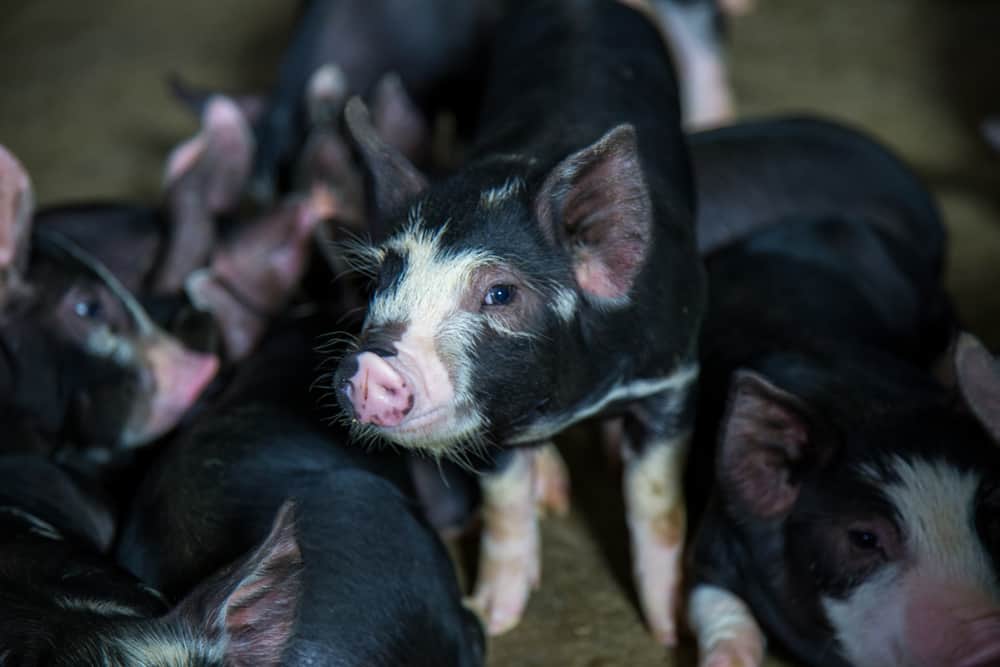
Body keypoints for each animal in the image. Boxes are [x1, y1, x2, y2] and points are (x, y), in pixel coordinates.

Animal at [331, 0, 705, 641]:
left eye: (500, 293)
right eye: (383, 277)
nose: (371, 363)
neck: (569, 400)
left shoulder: (673, 372)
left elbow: (657, 502)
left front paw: (669, 628)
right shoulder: (491, 412)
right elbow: (505, 501)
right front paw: (495, 616)